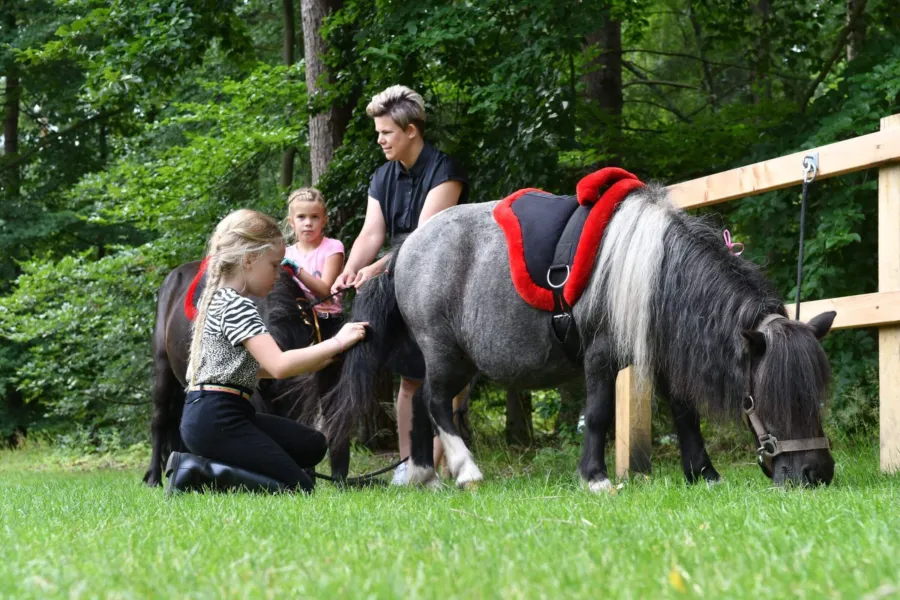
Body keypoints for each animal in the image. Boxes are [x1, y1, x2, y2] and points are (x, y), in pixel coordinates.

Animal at [326, 171, 836, 490]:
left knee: (418, 406)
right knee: (434, 403)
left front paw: (704, 474)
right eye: (762, 398)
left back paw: (425, 475)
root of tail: (406, 246)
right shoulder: (601, 357)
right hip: (443, 351)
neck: (652, 269)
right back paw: (466, 470)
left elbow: (685, 413)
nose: (816, 473)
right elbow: (598, 413)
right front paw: (595, 477)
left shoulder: (659, 354)